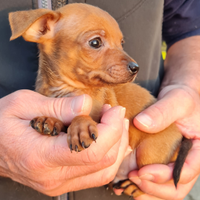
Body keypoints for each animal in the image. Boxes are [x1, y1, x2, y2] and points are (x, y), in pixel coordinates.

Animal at [8, 3, 191, 198]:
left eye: (121, 43)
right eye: (95, 42)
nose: (136, 68)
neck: (66, 89)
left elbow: (82, 116)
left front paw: (80, 127)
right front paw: (49, 120)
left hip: (148, 154)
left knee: (147, 180)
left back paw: (134, 186)